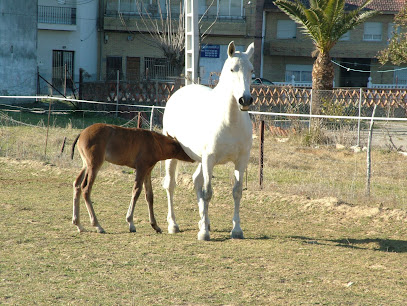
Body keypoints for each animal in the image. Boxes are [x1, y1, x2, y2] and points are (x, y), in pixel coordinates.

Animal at [163, 41, 255, 241]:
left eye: (251, 70)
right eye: (232, 69)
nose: (245, 100)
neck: (229, 121)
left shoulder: (241, 160)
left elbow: (237, 192)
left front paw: (236, 230)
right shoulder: (209, 159)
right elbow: (207, 193)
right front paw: (204, 233)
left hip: (200, 160)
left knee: (196, 180)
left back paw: (202, 221)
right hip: (175, 156)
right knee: (171, 185)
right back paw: (173, 224)